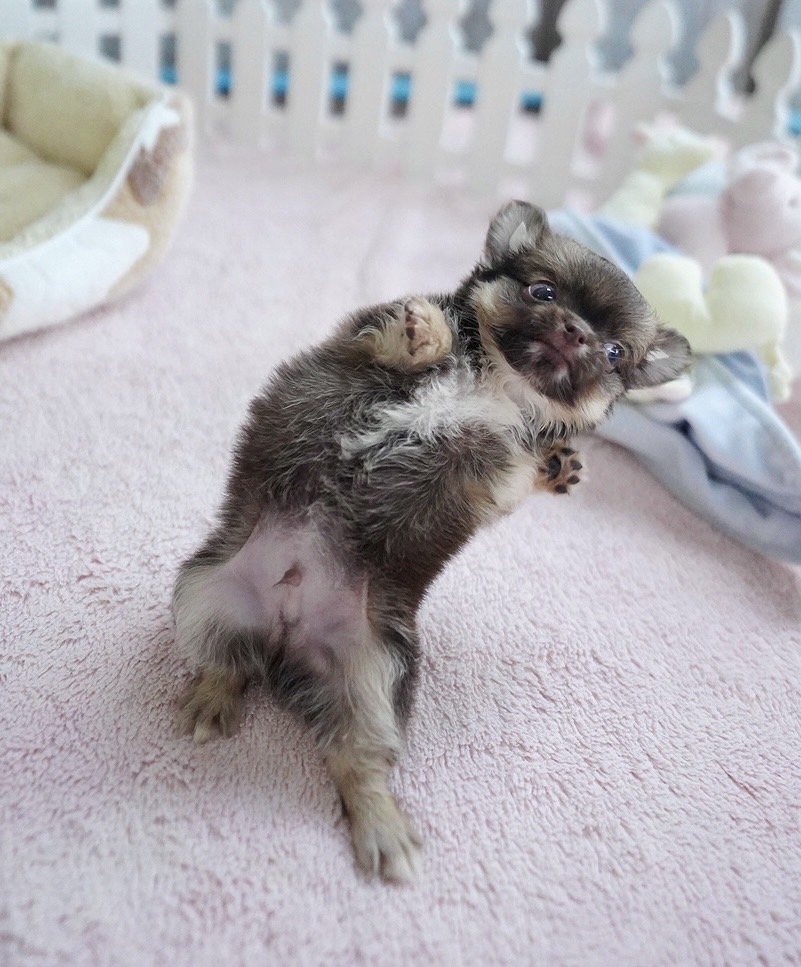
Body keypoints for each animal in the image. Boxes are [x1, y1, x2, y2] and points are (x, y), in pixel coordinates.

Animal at [173, 201, 691, 882]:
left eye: (612, 352)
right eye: (542, 292)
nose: (575, 331)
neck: (498, 384)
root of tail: (285, 629)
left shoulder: (489, 478)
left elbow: (520, 474)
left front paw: (554, 466)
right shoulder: (358, 341)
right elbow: (404, 338)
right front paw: (427, 334)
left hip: (374, 676)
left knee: (354, 760)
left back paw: (384, 829)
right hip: (204, 591)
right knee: (228, 662)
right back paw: (211, 702)